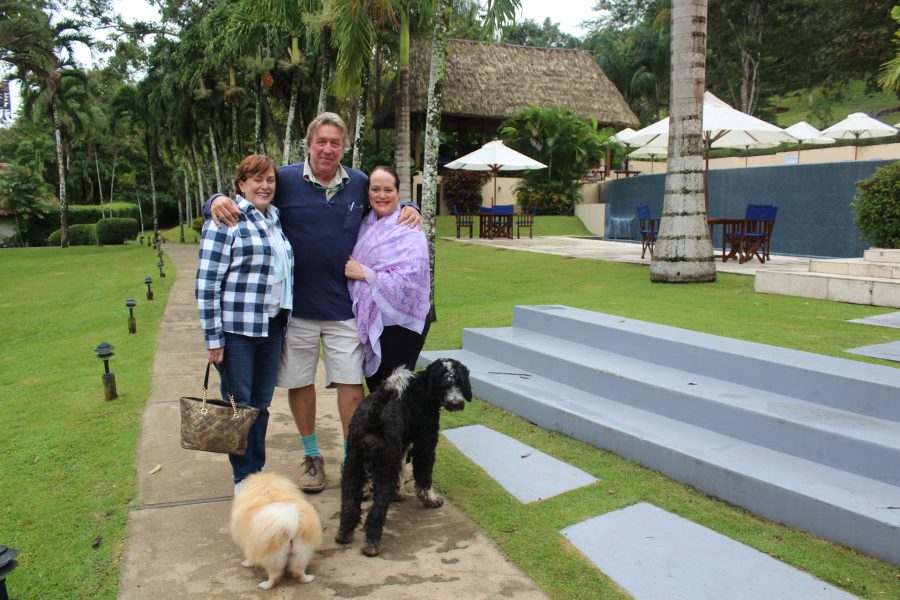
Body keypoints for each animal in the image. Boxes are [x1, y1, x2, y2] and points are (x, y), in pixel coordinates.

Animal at [336, 356, 474, 556]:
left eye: (459, 382)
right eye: (445, 383)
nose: (456, 404)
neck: (423, 388)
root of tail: (373, 420)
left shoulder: (400, 448)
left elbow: (401, 469)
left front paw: (398, 492)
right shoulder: (425, 444)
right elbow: (424, 477)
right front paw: (430, 499)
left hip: (353, 467)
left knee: (349, 504)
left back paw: (344, 534)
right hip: (383, 470)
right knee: (377, 511)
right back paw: (372, 544)